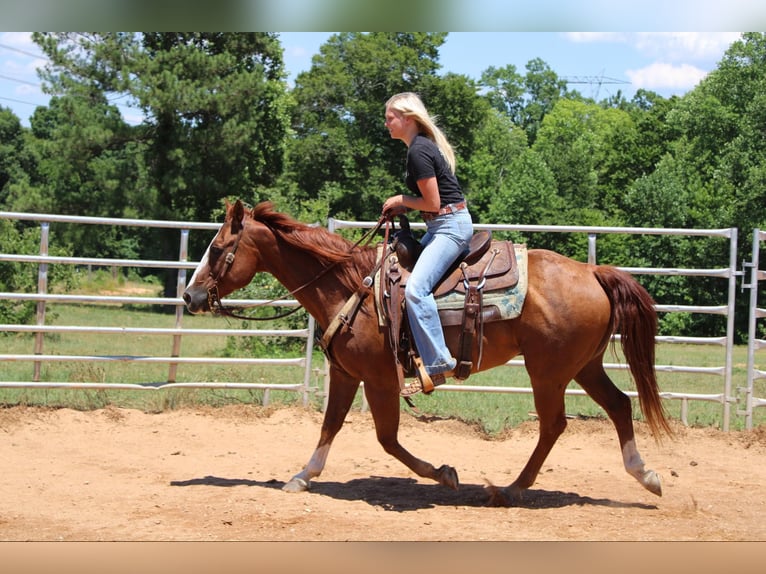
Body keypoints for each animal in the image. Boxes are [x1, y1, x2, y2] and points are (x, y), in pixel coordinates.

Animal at [184, 200, 672, 506]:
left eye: (218, 249)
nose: (190, 296)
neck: (351, 287)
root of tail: (593, 272)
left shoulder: (380, 379)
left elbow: (386, 439)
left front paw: (444, 473)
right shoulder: (346, 374)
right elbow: (330, 425)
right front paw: (303, 476)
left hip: (548, 372)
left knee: (554, 425)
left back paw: (511, 490)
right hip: (583, 366)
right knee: (619, 405)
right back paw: (646, 475)